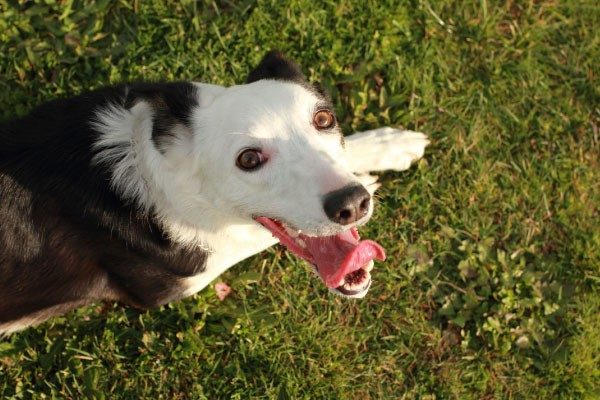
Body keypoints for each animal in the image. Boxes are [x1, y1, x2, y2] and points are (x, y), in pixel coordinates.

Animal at [1, 52, 432, 334]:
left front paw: (387, 144)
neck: (148, 165)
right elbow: (244, 238)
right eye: (249, 159)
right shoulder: (172, 282)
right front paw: (371, 170)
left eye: (324, 119)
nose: (352, 203)